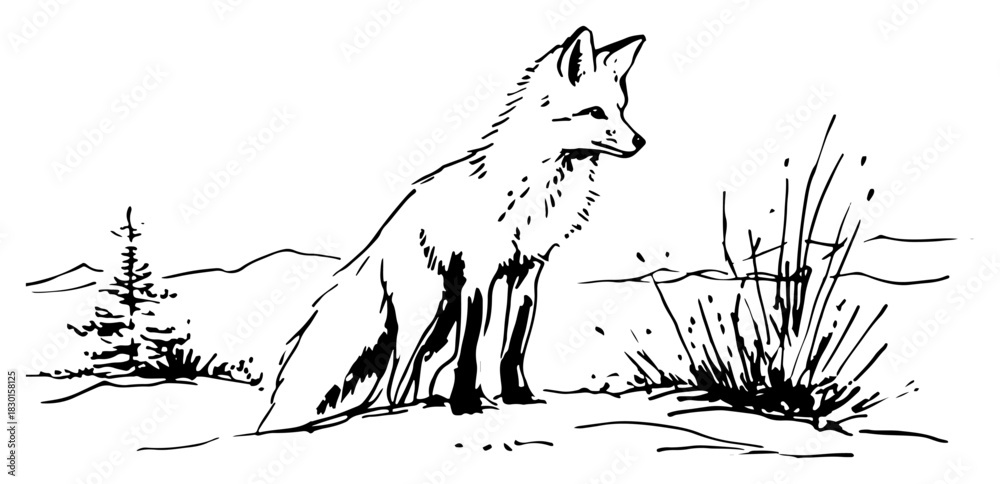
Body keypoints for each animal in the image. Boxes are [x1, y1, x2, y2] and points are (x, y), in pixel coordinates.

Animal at [257, 26, 646, 433]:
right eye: (596, 112)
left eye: (621, 108)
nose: (640, 141)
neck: (536, 191)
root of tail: (381, 237)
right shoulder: (480, 275)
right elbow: (472, 349)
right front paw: (466, 402)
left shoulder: (527, 272)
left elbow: (513, 346)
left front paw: (517, 396)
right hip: (426, 314)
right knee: (395, 380)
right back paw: (405, 410)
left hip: (443, 323)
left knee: (418, 372)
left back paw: (427, 401)